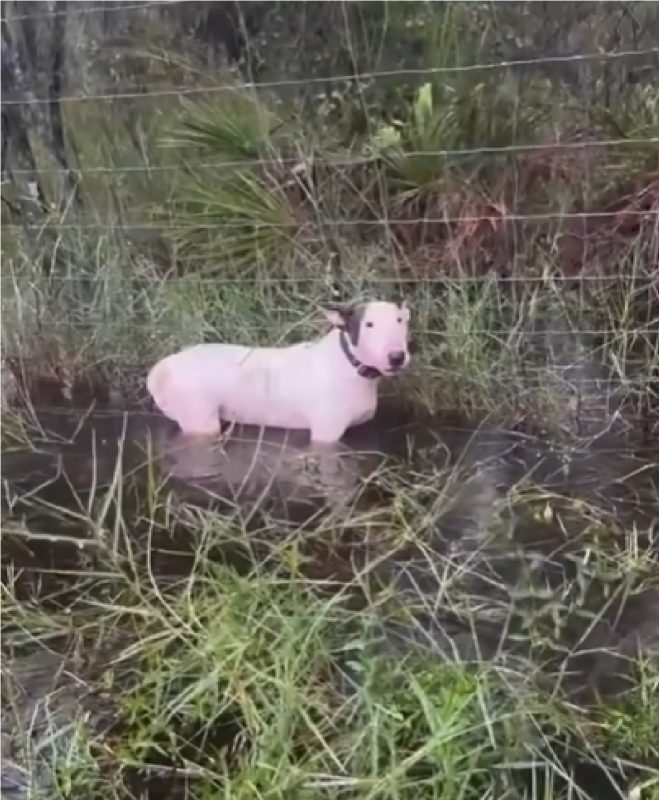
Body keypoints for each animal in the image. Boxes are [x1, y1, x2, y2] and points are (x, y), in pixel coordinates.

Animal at [147, 300, 410, 444]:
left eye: (400, 321)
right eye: (369, 324)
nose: (397, 357)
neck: (350, 365)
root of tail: (162, 368)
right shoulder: (326, 434)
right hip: (199, 420)